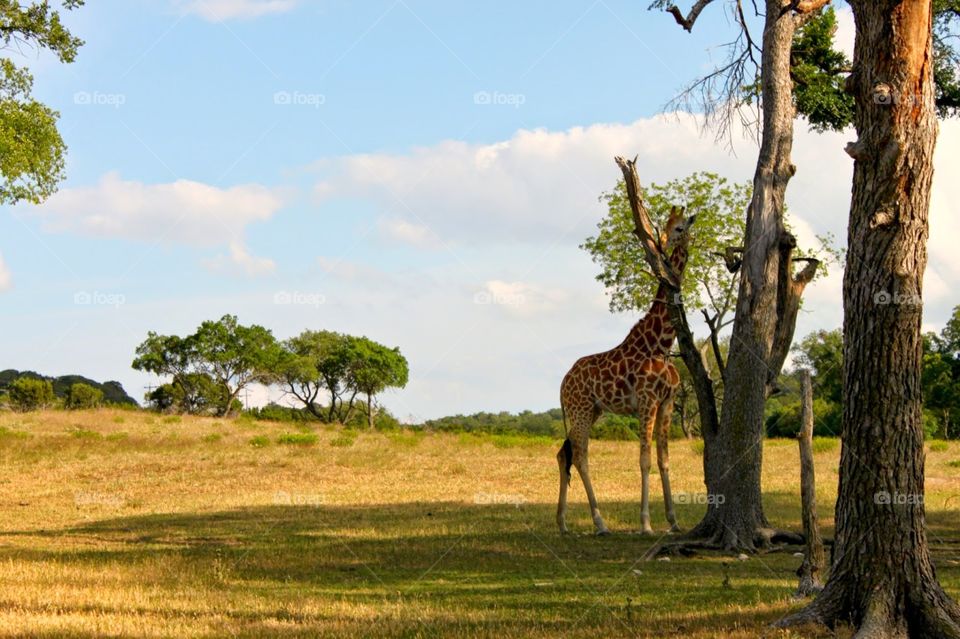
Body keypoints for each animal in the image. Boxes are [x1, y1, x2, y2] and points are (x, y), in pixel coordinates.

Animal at [556, 210, 696, 536]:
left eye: (681, 225)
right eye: (671, 227)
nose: (666, 247)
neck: (660, 344)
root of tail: (563, 381)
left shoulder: (667, 402)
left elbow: (663, 459)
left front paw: (673, 520)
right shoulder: (646, 401)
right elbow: (644, 459)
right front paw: (646, 523)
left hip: (592, 409)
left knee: (564, 453)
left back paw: (563, 522)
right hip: (580, 409)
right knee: (579, 455)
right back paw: (600, 522)